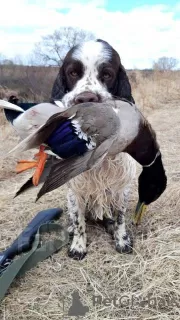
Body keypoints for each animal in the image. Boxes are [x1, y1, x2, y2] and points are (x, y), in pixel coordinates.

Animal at [50, 39, 136, 260]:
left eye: (106, 74)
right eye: (73, 73)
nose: (86, 98)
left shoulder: (121, 187)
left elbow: (121, 217)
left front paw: (122, 241)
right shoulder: (75, 189)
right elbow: (78, 220)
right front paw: (78, 246)